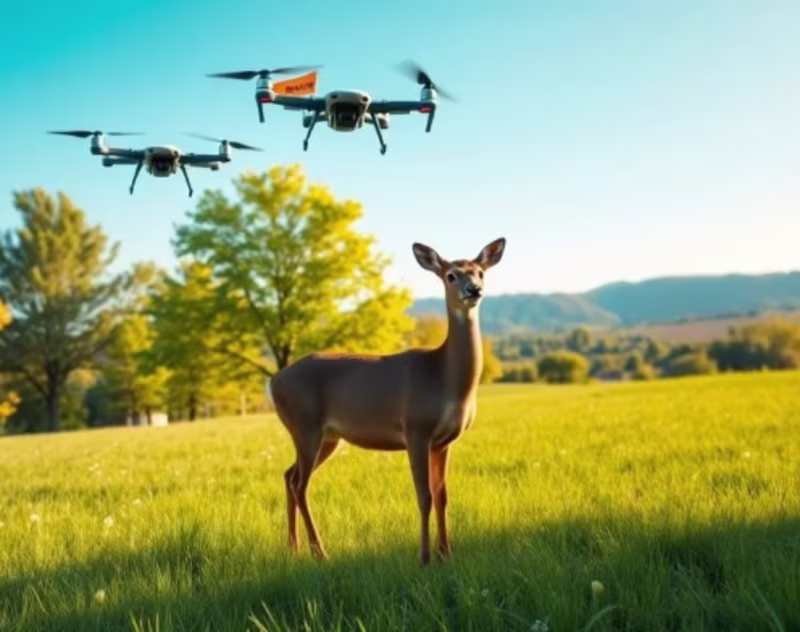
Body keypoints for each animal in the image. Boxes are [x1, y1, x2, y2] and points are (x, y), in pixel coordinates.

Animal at [267, 237, 506, 565]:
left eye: (480, 272)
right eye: (451, 275)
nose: (474, 290)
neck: (443, 377)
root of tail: (273, 382)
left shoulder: (444, 441)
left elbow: (442, 495)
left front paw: (446, 554)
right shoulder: (416, 428)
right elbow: (424, 496)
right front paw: (424, 558)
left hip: (327, 437)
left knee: (288, 475)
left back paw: (294, 547)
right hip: (305, 424)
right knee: (301, 484)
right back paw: (320, 552)